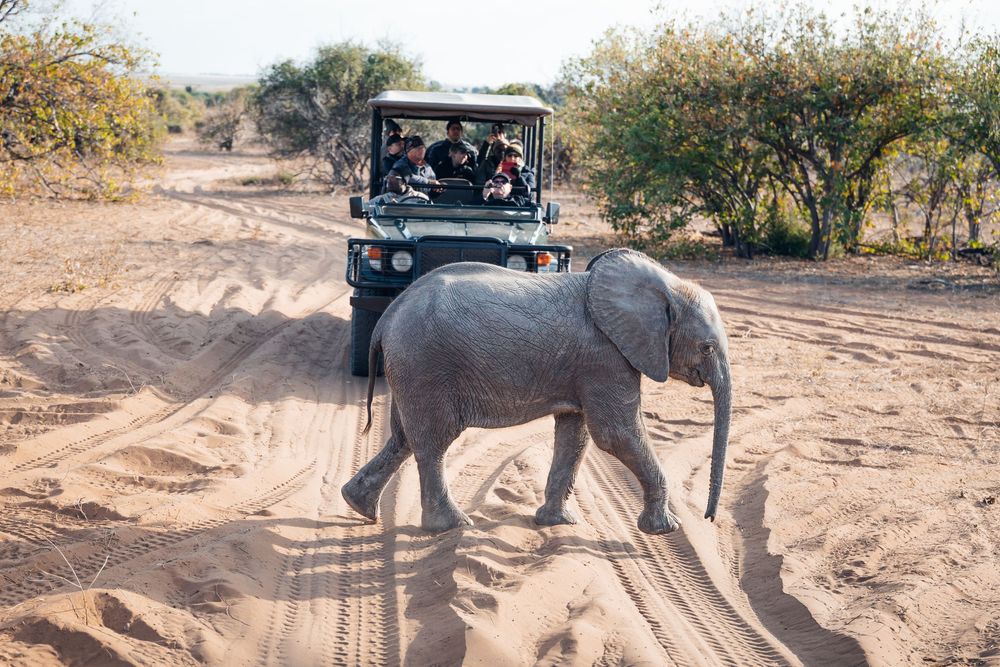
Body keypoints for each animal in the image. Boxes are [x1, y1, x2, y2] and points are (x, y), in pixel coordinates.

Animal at [342, 248, 731, 534]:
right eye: (708, 347)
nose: (710, 519)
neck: (664, 285)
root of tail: (387, 316)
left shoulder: (588, 365)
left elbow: (576, 434)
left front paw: (557, 523)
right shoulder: (605, 358)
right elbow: (615, 434)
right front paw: (665, 529)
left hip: (411, 369)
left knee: (403, 438)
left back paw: (358, 505)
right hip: (425, 365)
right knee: (433, 442)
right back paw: (451, 527)